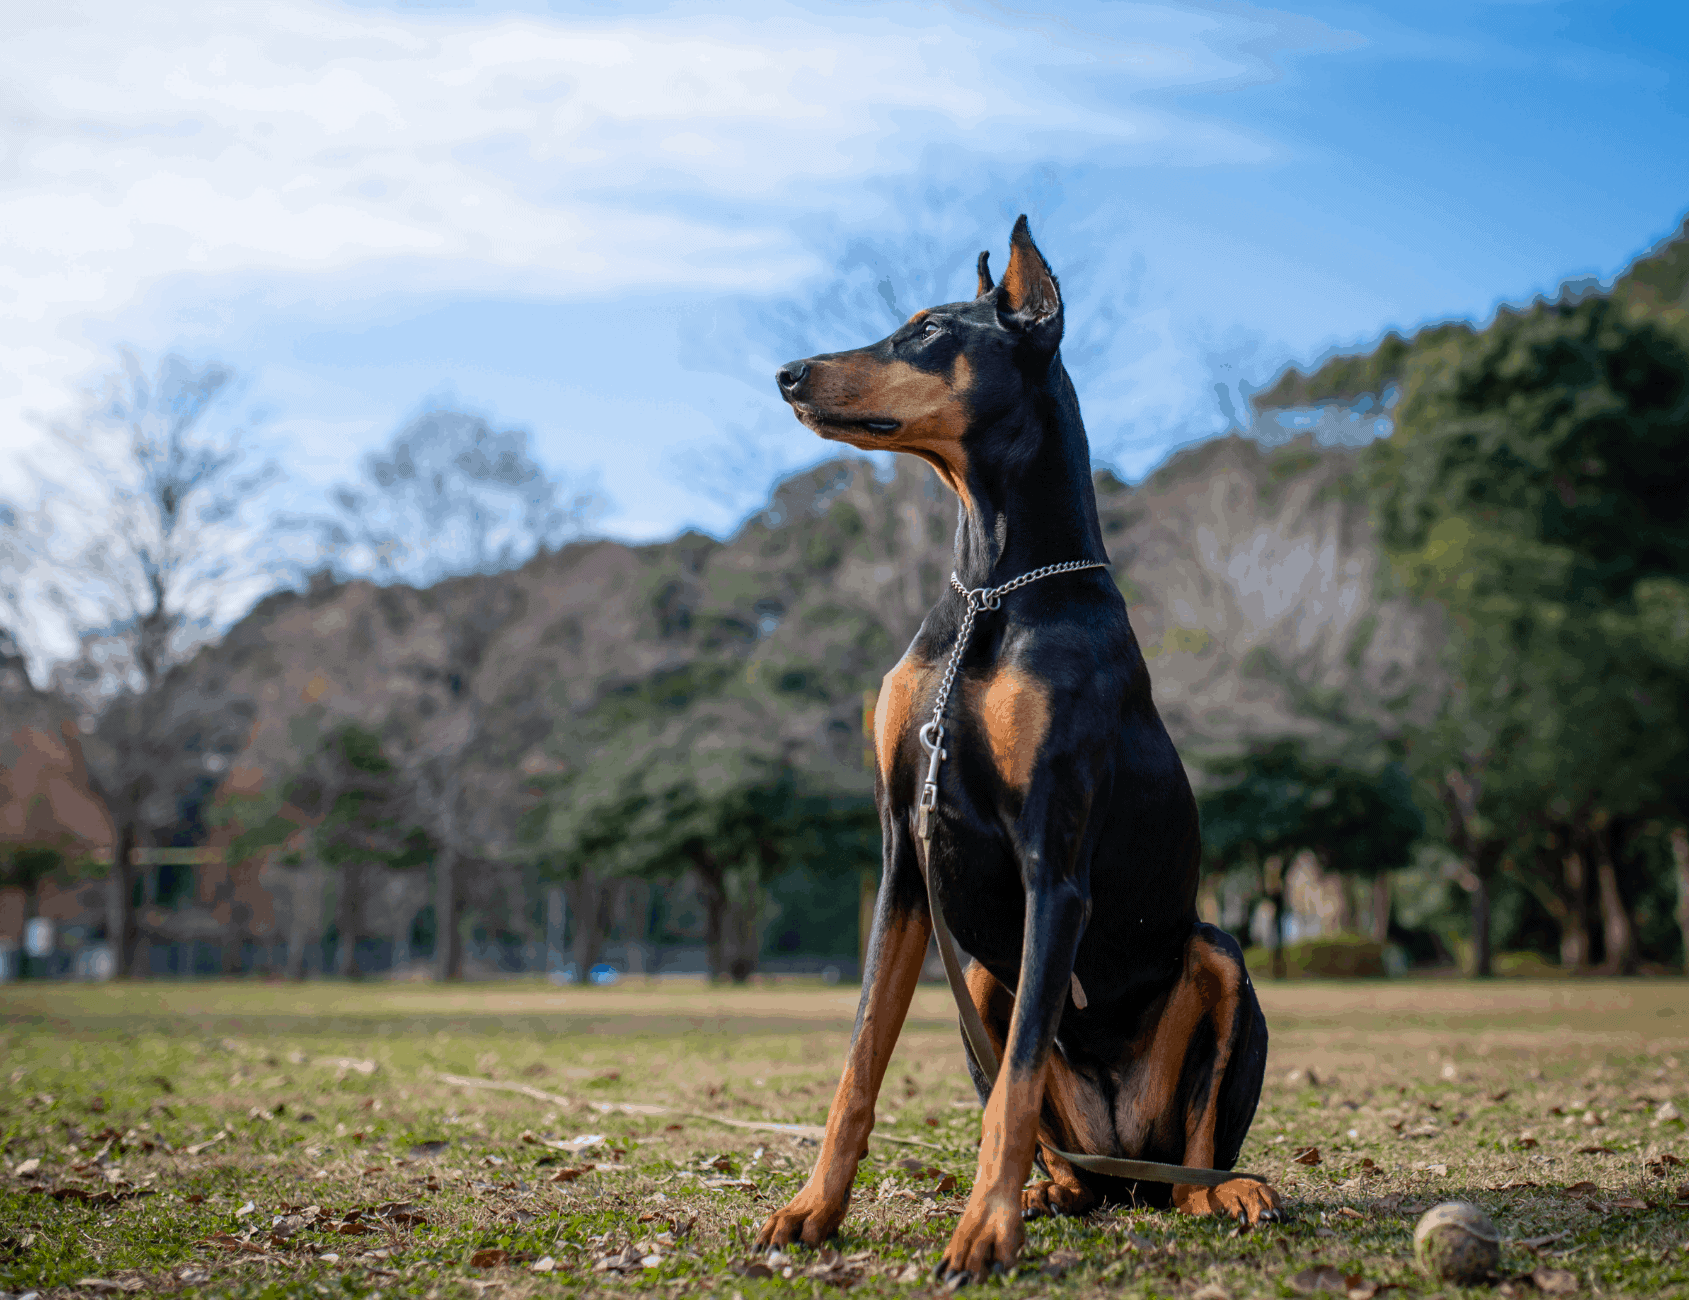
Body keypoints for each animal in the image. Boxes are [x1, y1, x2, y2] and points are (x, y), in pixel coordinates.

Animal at [756, 217, 1276, 1283]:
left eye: (926, 331)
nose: (786, 373)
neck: (992, 589)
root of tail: (1125, 1157)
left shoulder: (1054, 864)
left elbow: (1019, 1078)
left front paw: (982, 1230)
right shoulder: (900, 855)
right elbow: (860, 1060)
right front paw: (814, 1208)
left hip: (1217, 956)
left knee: (1189, 1155)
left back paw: (1226, 1191)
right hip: (988, 980)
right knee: (1066, 1157)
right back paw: (1052, 1191)